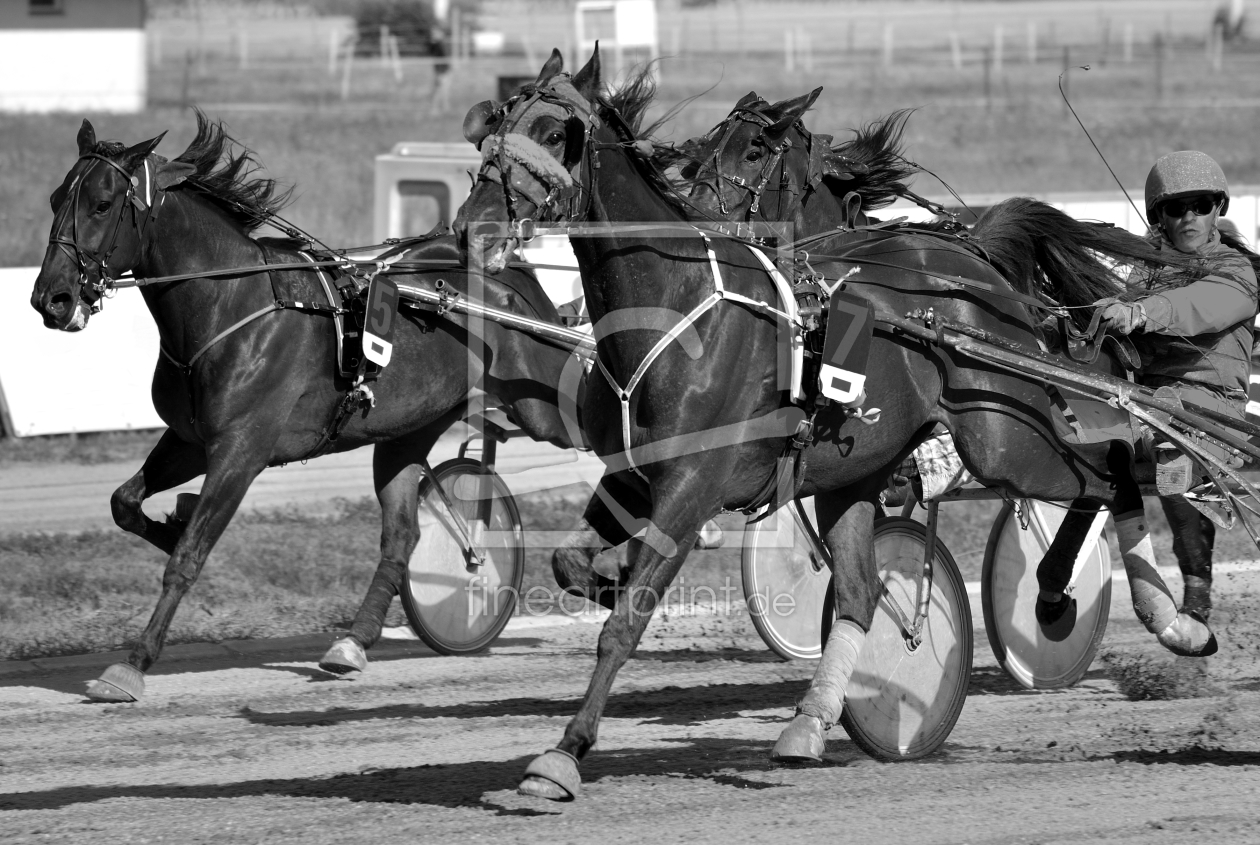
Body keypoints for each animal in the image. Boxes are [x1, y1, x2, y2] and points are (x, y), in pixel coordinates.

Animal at [28, 115, 579, 705]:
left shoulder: (242, 451)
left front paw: (132, 664)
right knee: (402, 536)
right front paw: (172, 521)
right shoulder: (190, 440)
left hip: (543, 406)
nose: (50, 298)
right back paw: (353, 644)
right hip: (406, 430)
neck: (233, 306)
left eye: (102, 204)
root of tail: (508, 270)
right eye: (57, 198)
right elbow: (124, 503)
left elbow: (188, 558)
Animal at [453, 46, 1209, 800]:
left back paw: (1148, 612)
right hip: (856, 470)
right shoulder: (633, 476)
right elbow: (570, 561)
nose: (473, 225)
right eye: (495, 122)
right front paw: (602, 574)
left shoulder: (692, 484)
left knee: (1111, 472)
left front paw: (564, 754)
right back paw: (809, 723)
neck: (674, 303)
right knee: (860, 592)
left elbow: (627, 617)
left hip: (1001, 436)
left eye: (556, 133)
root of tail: (975, 263)